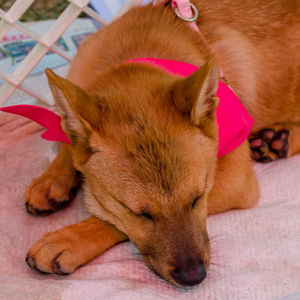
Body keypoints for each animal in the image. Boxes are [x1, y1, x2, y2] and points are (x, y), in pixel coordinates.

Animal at [24, 0, 300, 286]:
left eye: (197, 199)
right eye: (140, 213)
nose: (194, 278)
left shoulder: (237, 180)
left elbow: (110, 220)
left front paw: (71, 238)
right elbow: (68, 138)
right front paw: (52, 180)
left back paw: (280, 139)